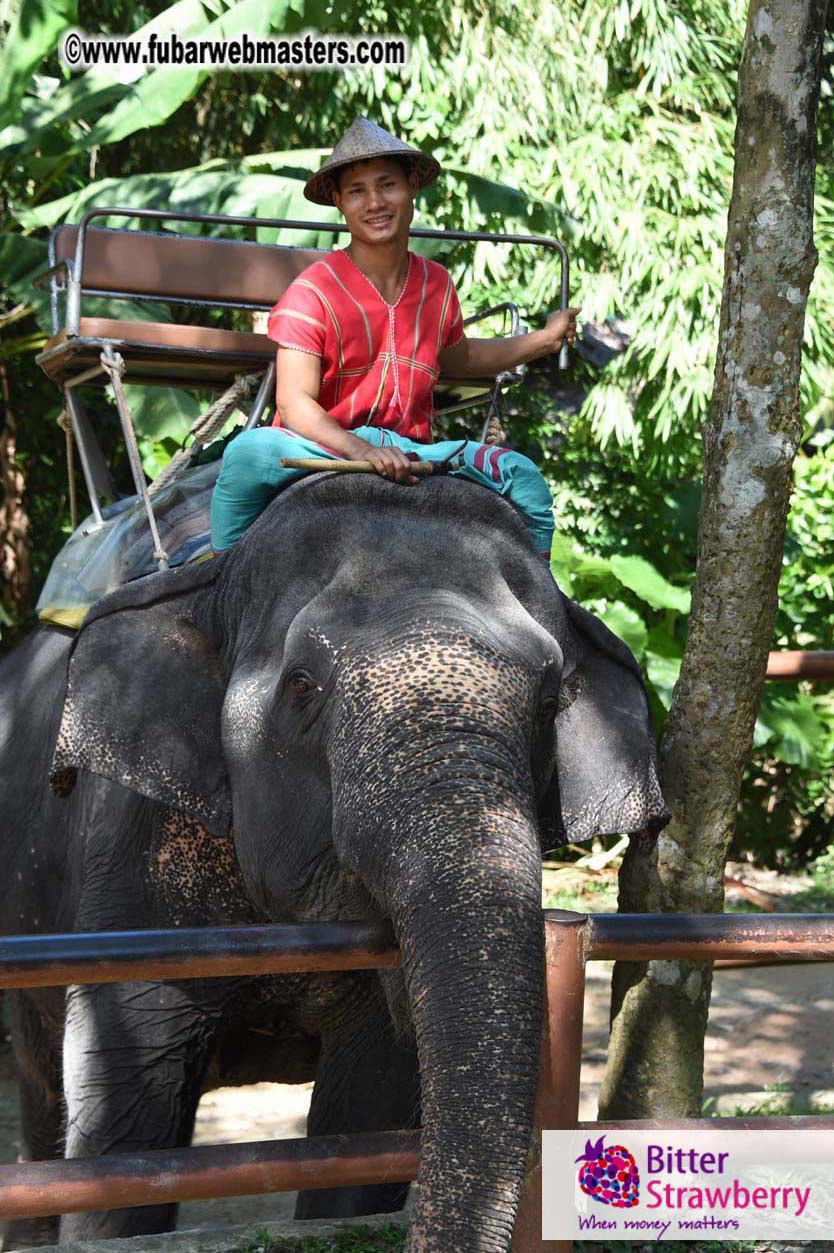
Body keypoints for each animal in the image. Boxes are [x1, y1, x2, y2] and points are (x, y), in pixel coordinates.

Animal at [0, 468, 669, 1252]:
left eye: (546, 701)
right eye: (302, 685)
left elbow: (366, 1113)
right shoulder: (130, 859)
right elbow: (127, 1124)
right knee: (44, 1093)